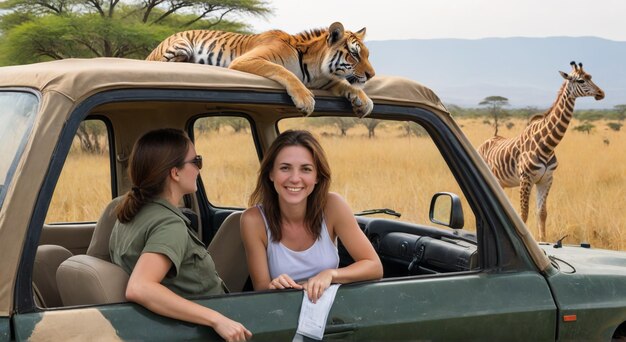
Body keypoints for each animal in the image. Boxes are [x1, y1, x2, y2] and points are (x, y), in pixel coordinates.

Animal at [476, 62, 604, 243]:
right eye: (580, 80)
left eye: (590, 77)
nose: (601, 93)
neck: (547, 145)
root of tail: (484, 143)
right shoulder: (526, 179)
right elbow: (523, 214)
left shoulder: (546, 179)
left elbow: (542, 213)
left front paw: (542, 241)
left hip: (501, 182)